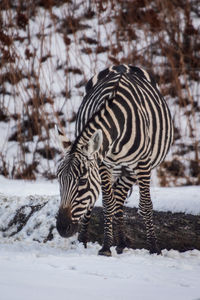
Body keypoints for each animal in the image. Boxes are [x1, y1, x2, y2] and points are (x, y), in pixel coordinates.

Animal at [55, 64, 173, 256]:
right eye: (59, 180)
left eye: (82, 181)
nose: (62, 228)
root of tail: (122, 65)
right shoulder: (103, 165)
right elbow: (107, 204)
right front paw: (105, 247)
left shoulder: (142, 163)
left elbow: (145, 205)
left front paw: (154, 248)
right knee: (108, 200)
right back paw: (87, 240)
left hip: (130, 170)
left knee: (119, 197)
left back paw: (122, 242)